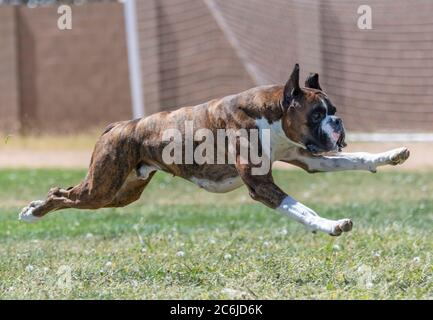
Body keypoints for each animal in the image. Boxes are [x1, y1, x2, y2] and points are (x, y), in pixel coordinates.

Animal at [19, 63, 408, 236]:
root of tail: (119, 126)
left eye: (334, 110)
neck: (270, 115)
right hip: (101, 189)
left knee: (68, 194)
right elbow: (302, 209)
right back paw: (31, 212)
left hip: (119, 194)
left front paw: (390, 155)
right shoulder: (261, 186)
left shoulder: (310, 159)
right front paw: (330, 225)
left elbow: (355, 159)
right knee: (61, 194)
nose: (338, 123)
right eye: (317, 114)